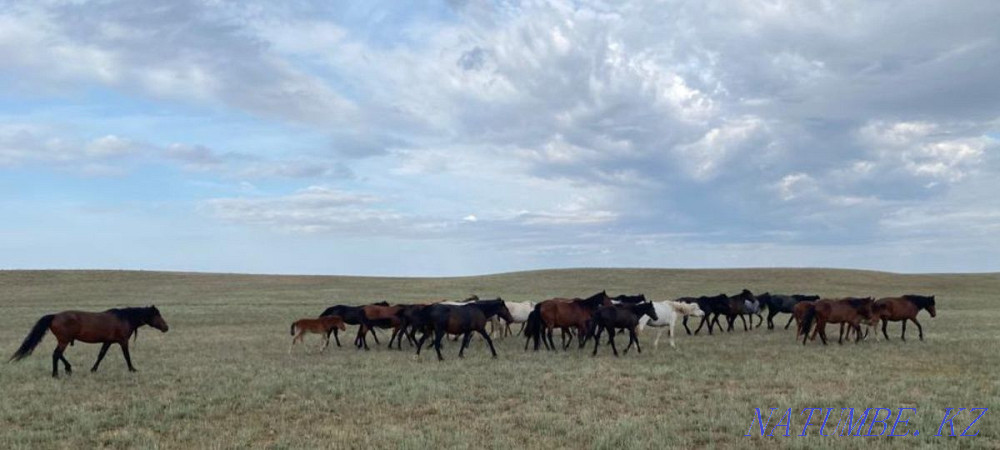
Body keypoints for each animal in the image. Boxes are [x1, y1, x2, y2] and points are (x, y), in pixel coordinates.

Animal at [9, 306, 169, 377]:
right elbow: (127, 356)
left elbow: (101, 355)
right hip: (64, 341)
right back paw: (56, 374)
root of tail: (54, 316)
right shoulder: (123, 342)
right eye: (157, 315)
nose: (166, 327)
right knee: (56, 354)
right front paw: (132, 369)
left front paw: (93, 369)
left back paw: (68, 368)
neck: (124, 318)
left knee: (58, 354)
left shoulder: (108, 342)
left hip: (64, 340)